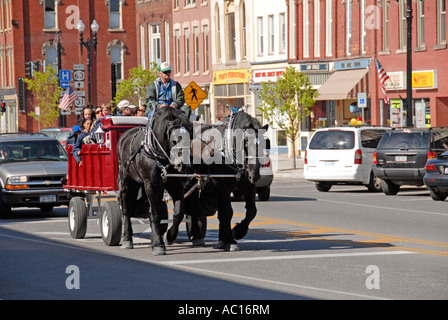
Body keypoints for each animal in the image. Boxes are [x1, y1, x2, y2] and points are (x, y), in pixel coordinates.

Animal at [116, 107, 192, 255]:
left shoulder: (175, 185)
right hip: (127, 183)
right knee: (126, 209)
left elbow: (178, 213)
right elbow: (156, 215)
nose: (184, 164)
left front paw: (170, 236)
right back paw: (127, 239)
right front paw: (158, 245)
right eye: (174, 139)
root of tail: (124, 136)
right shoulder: (152, 185)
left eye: (191, 134)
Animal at [184, 111, 268, 251]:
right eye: (246, 143)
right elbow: (227, 212)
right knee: (192, 206)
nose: (255, 175)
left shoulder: (248, 185)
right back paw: (196, 235)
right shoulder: (223, 187)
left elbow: (251, 211)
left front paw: (237, 232)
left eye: (264, 144)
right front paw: (230, 240)